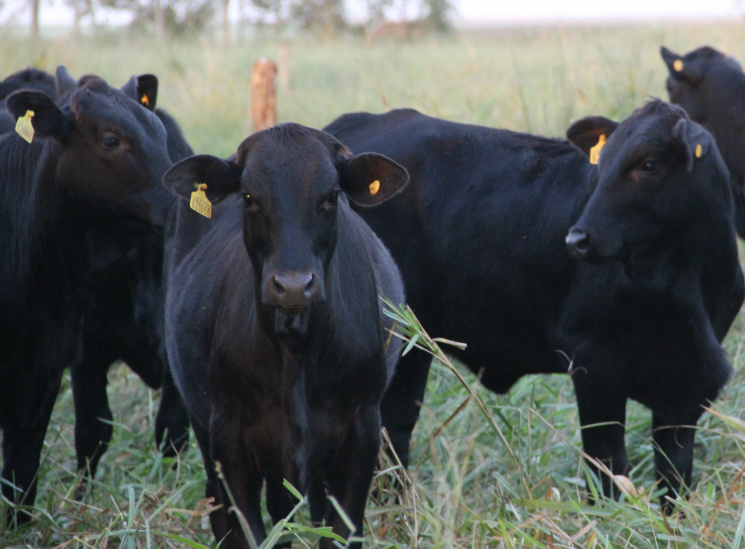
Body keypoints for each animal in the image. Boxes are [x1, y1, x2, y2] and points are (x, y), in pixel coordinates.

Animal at [326, 100, 744, 512]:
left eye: (650, 164)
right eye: (602, 163)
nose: (577, 239)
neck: (685, 287)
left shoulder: (685, 391)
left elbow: (675, 482)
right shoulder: (594, 367)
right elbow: (607, 471)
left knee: (395, 427)